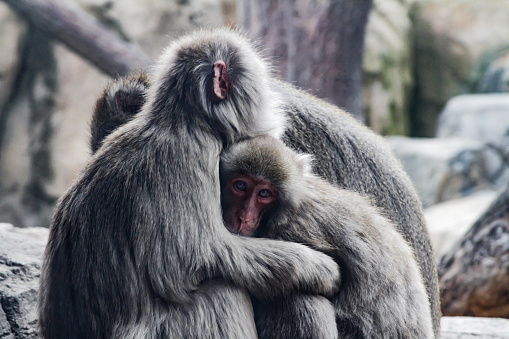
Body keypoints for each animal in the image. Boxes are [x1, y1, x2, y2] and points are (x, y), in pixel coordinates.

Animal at [38, 29, 342, 339]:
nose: (275, 104)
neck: (183, 121)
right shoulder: (191, 154)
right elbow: (199, 255)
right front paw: (317, 267)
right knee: (220, 290)